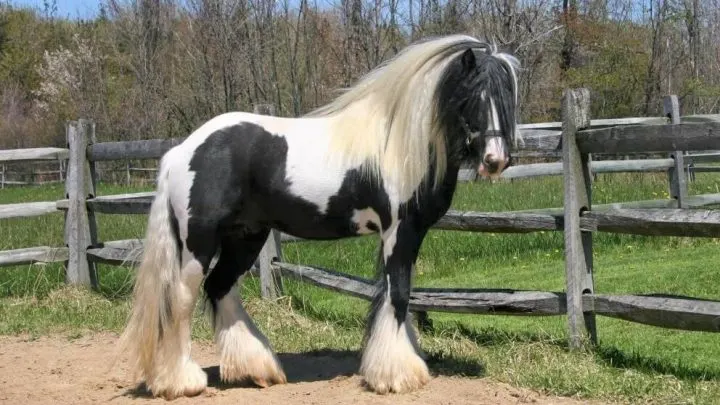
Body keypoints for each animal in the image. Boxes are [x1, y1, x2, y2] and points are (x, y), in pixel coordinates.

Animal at [117, 34, 521, 399]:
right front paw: (396, 375)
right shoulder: (399, 231)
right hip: (198, 244)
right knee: (181, 299)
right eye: (471, 96)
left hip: (245, 236)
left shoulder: (406, 235)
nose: (495, 160)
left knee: (220, 288)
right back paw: (181, 381)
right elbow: (399, 294)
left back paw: (256, 369)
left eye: (507, 96)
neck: (397, 146)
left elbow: (393, 293)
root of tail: (183, 151)